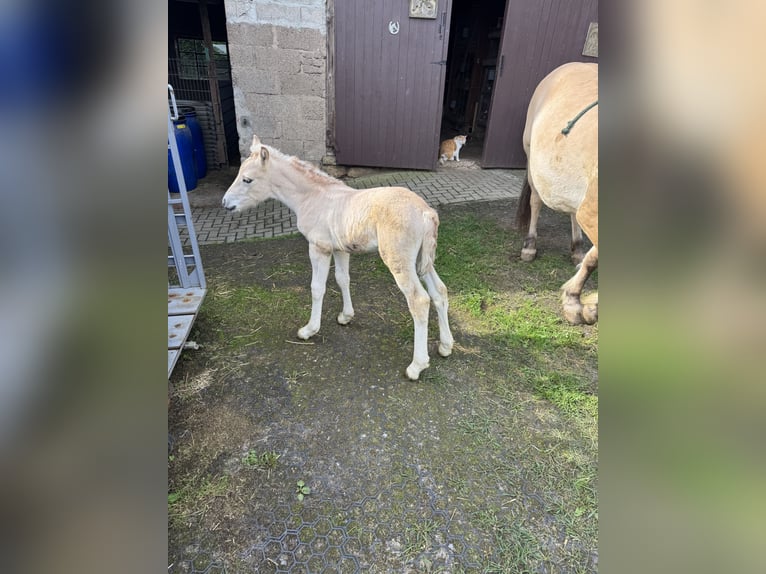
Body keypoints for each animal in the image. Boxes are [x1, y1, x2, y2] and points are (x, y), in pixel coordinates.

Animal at [221, 135, 454, 380]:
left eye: (247, 179)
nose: (225, 203)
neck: (313, 197)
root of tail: (426, 212)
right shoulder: (340, 249)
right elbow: (343, 279)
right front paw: (346, 316)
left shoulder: (319, 248)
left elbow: (317, 288)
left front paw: (309, 330)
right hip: (422, 260)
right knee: (439, 291)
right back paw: (445, 346)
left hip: (399, 260)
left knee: (419, 300)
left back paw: (417, 365)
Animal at [515, 62, 598, 325]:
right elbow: (594, 260)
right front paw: (575, 303)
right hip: (532, 158)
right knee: (535, 201)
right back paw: (530, 246)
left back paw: (577, 249)